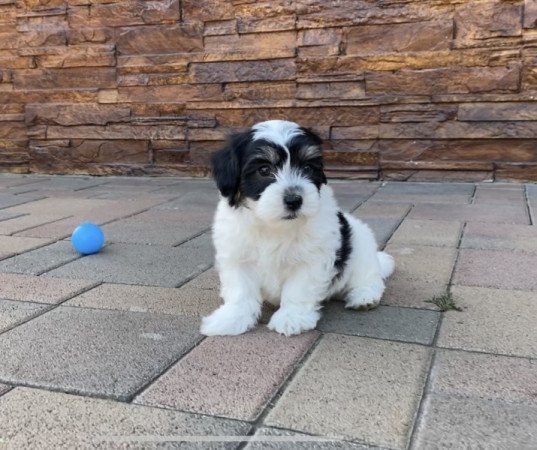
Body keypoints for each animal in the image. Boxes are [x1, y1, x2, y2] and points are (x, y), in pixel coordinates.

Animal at [199, 120, 392, 338]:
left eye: (307, 167)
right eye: (264, 170)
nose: (294, 200)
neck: (272, 225)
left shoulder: (312, 258)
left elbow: (299, 289)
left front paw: (291, 318)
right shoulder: (236, 254)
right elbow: (240, 290)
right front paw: (232, 318)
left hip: (361, 252)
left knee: (369, 278)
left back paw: (364, 297)